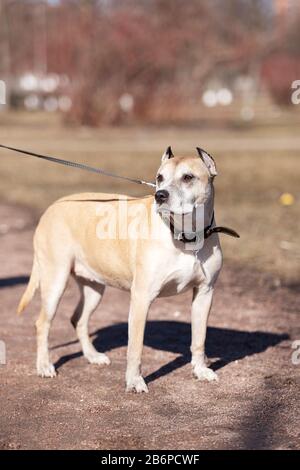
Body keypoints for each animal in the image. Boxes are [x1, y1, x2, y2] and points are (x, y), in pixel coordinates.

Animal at [17, 148, 223, 392]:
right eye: (159, 177)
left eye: (188, 177)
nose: (160, 195)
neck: (186, 235)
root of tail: (53, 206)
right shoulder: (141, 298)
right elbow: (135, 348)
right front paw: (134, 381)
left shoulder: (204, 293)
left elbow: (199, 339)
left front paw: (200, 370)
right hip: (55, 281)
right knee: (43, 323)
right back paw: (44, 365)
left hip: (94, 288)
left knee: (79, 319)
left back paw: (92, 356)